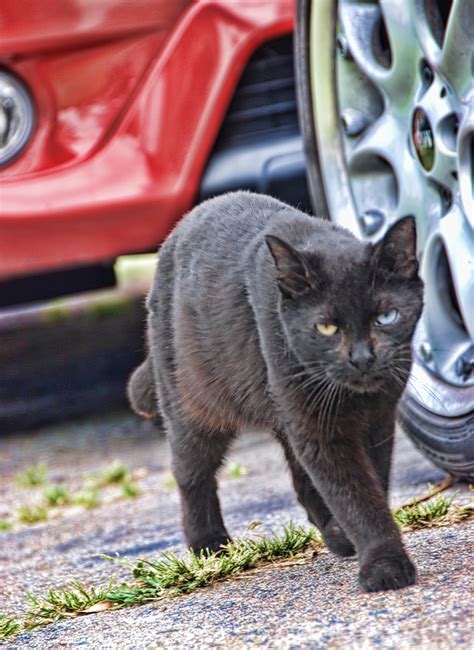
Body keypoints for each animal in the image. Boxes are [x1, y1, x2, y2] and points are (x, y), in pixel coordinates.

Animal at [128, 190, 424, 588]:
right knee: (191, 474)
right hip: (193, 407)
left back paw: (334, 535)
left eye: (386, 317)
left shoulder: (376, 421)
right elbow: (354, 494)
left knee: (301, 480)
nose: (362, 357)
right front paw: (384, 565)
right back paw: (207, 544)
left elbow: (370, 481)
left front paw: (356, 540)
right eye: (326, 327)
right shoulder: (318, 428)